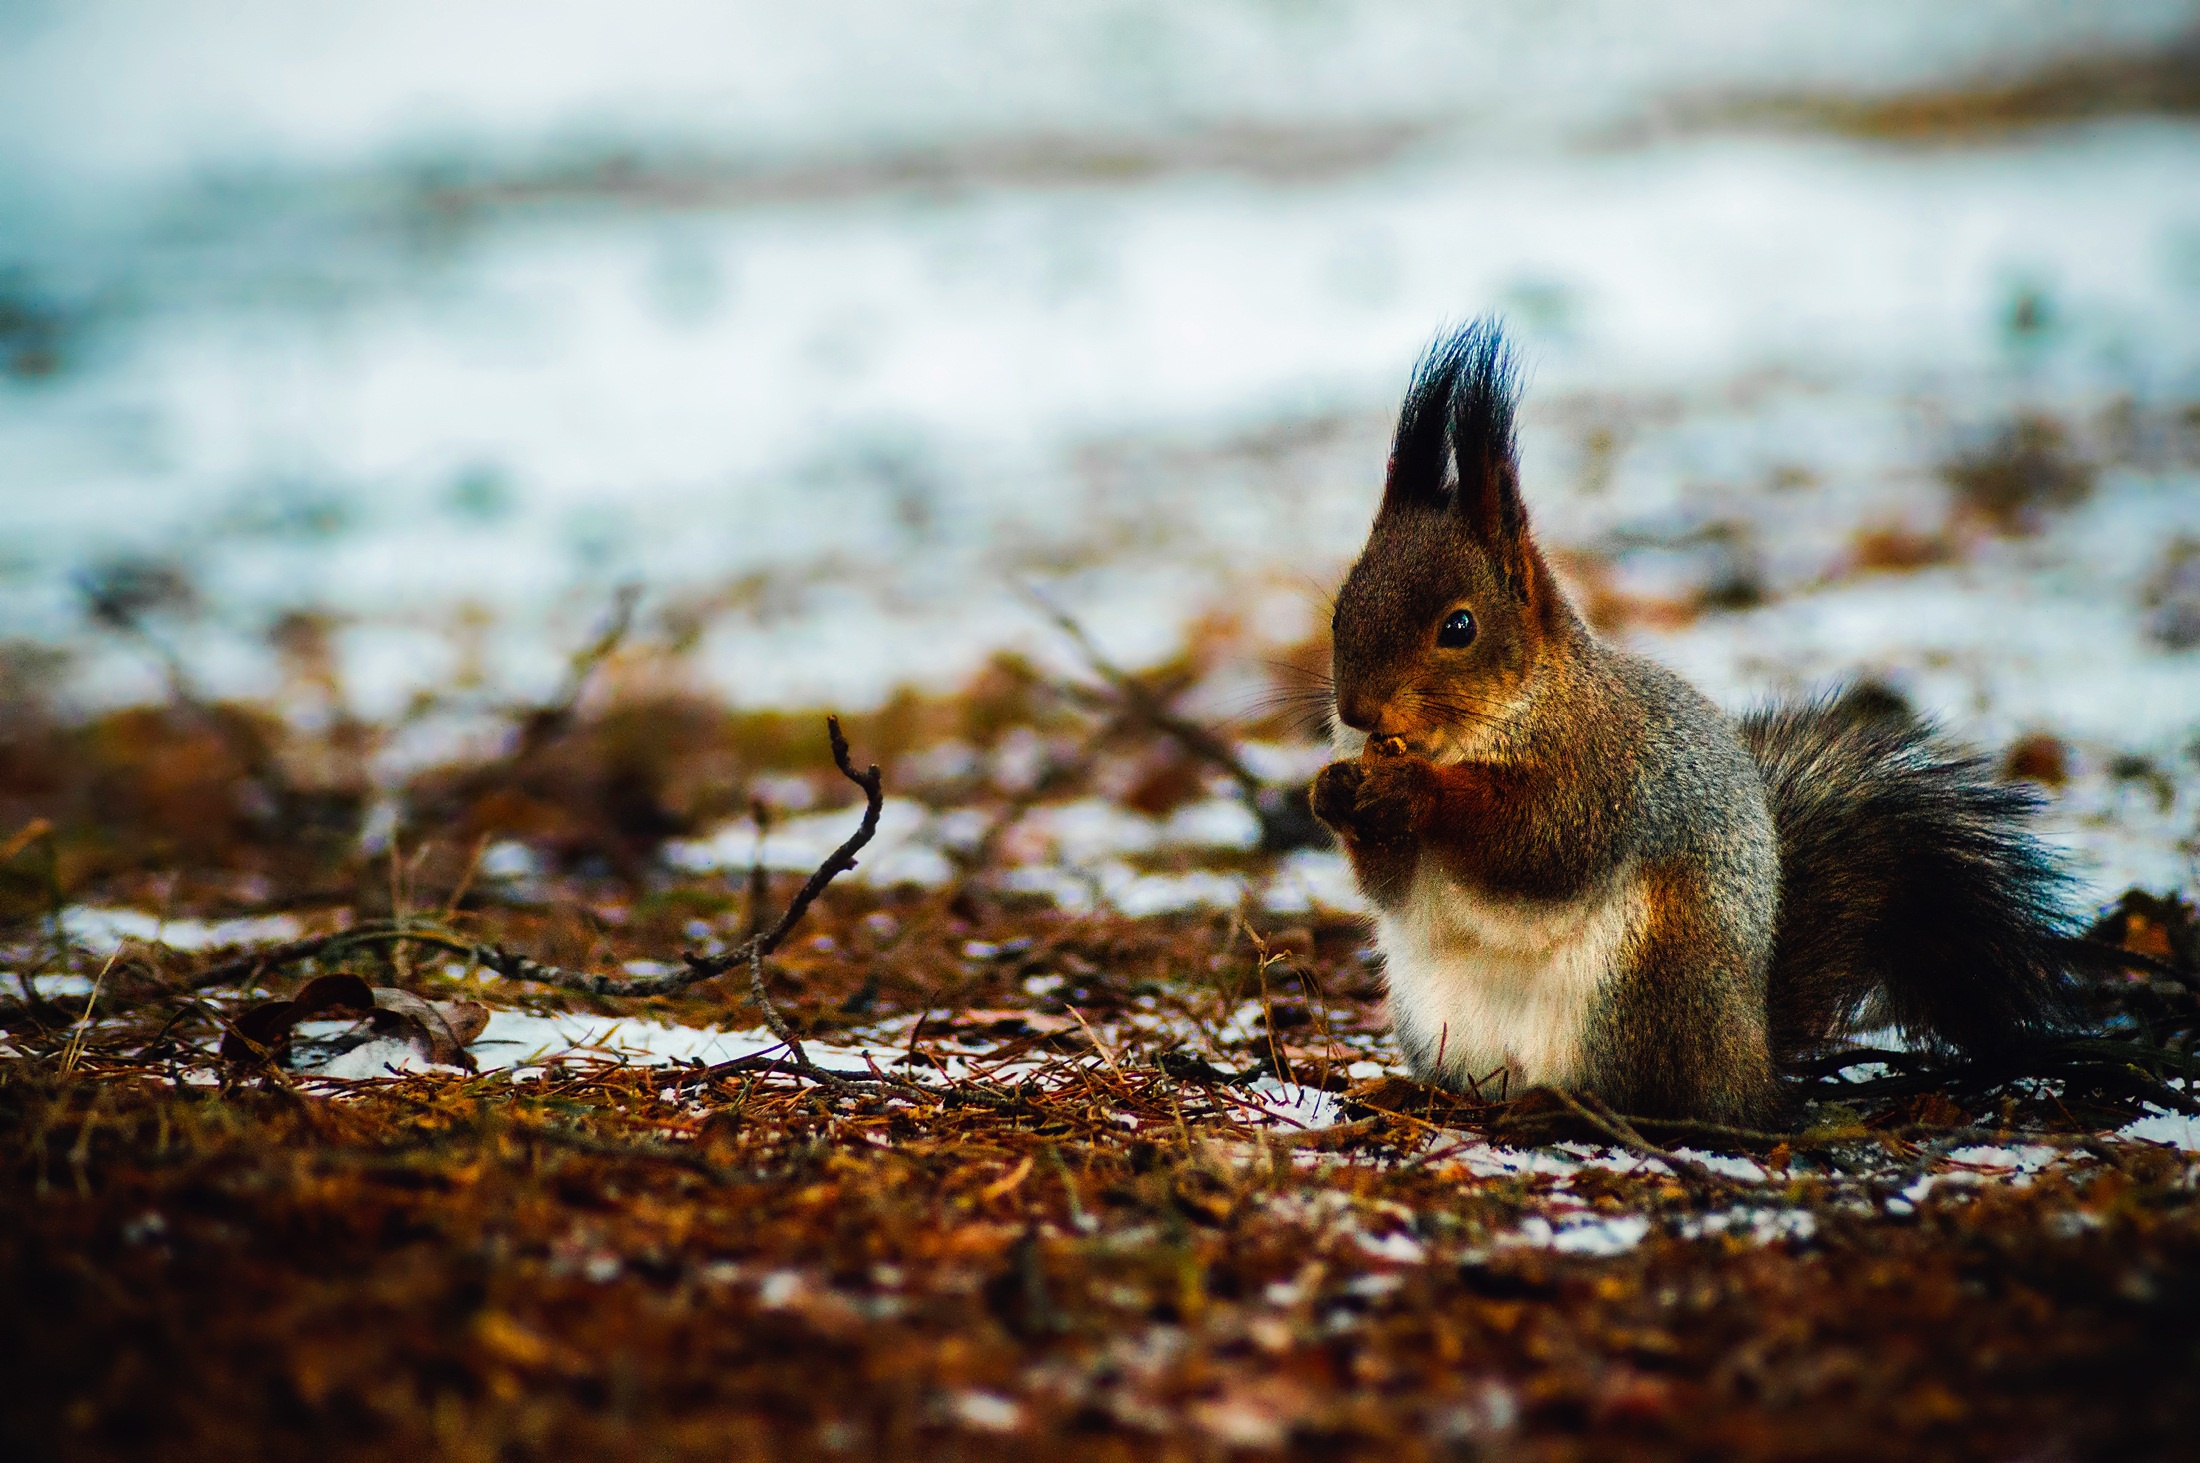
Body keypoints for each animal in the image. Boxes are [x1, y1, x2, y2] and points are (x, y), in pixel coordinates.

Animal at [1302, 319, 2076, 1122]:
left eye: (1459, 627)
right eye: (1339, 610)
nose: (1356, 712)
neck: (1488, 724)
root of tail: (1750, 1056)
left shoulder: (1601, 768)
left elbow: (1539, 840)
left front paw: (1415, 790)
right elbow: (1391, 886)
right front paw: (1331, 790)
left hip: (1649, 981)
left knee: (1652, 1093)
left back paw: (1564, 1104)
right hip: (1439, 1015)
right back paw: (1416, 1089)